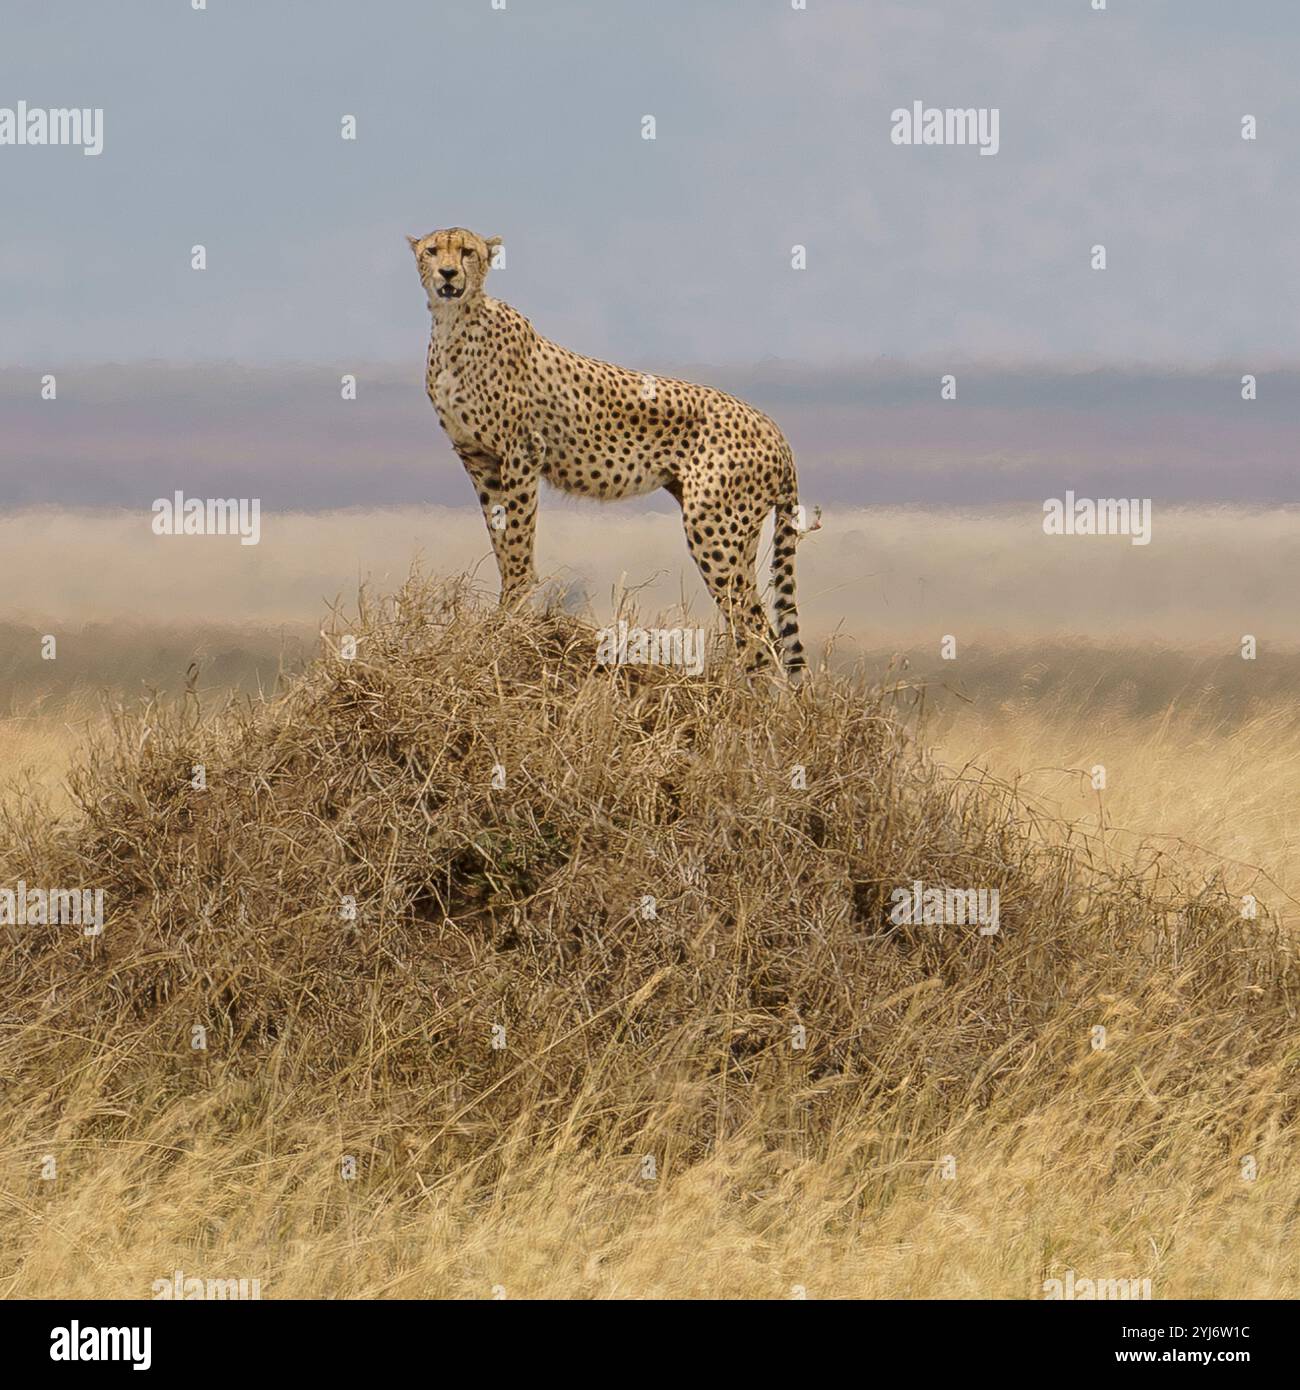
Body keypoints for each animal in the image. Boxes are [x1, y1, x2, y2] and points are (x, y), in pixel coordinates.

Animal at [411, 225, 806, 675]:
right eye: (432, 250)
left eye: (466, 251)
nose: (447, 273)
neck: (454, 324)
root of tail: (774, 428)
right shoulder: (479, 460)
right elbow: (501, 540)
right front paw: (503, 618)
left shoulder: (522, 452)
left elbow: (518, 542)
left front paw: (511, 617)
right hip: (739, 532)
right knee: (756, 627)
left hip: (713, 526)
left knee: (757, 629)